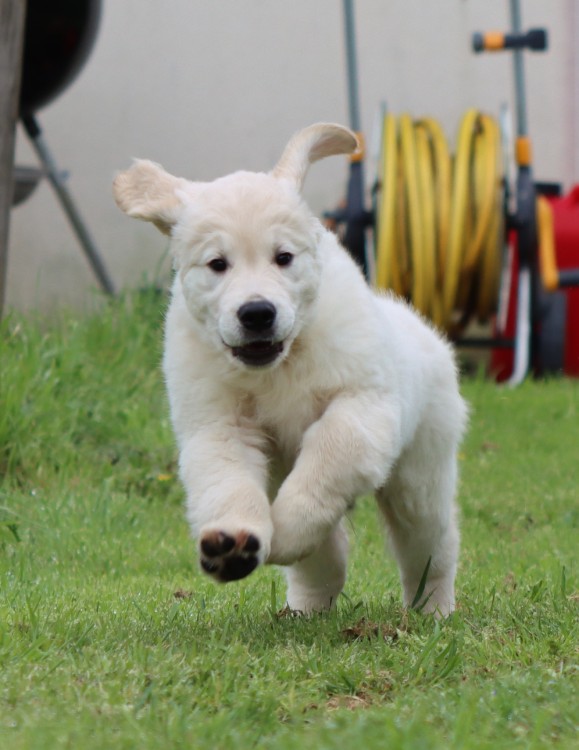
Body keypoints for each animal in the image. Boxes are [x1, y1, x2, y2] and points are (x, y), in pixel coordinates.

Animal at [113, 123, 467, 616]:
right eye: (218, 264)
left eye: (283, 257)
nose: (257, 313)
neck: (280, 364)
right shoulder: (219, 426)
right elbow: (228, 485)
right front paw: (234, 543)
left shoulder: (362, 409)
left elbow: (326, 458)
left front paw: (281, 533)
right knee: (325, 559)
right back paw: (305, 610)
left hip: (421, 474)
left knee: (430, 543)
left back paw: (433, 608)